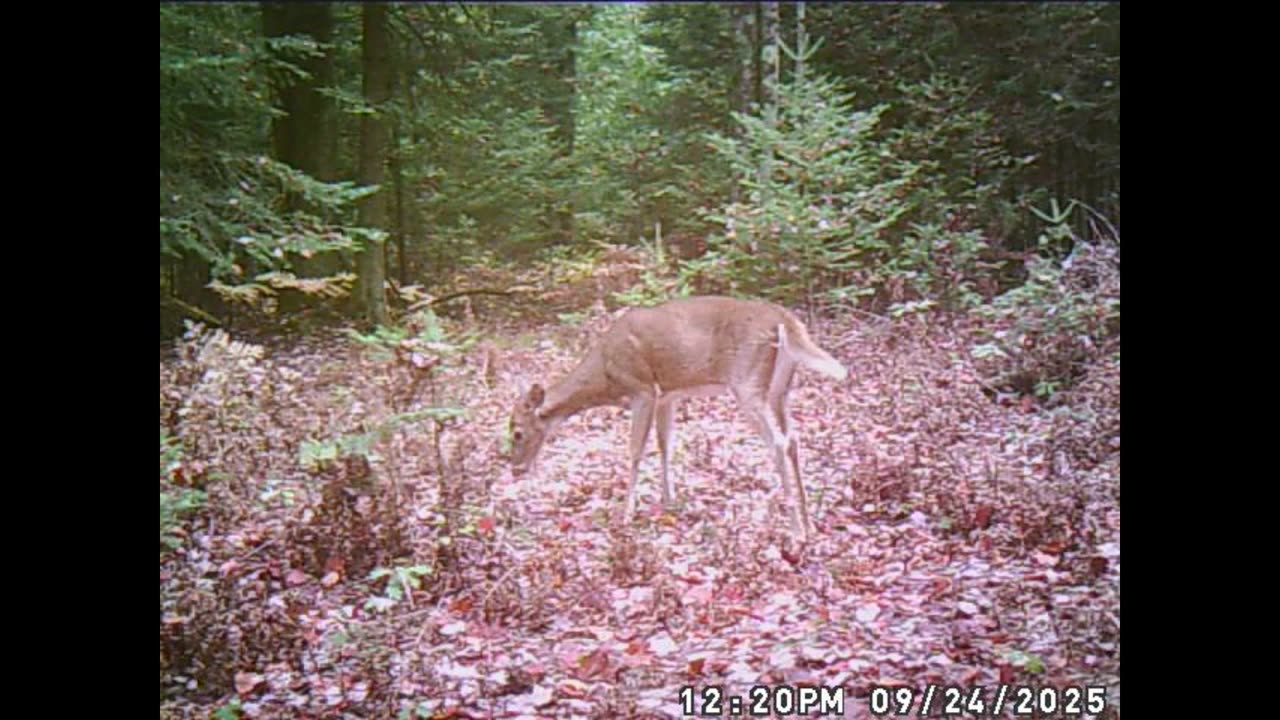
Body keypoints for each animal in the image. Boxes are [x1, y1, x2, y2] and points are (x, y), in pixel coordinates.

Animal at [507, 296, 847, 541]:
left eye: (517, 433)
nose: (515, 469)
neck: (604, 374)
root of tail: (785, 320)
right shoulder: (667, 397)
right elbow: (665, 444)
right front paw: (669, 499)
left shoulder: (643, 390)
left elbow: (635, 450)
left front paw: (626, 513)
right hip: (780, 389)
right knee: (793, 438)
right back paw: (810, 523)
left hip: (747, 381)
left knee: (777, 441)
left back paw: (796, 532)